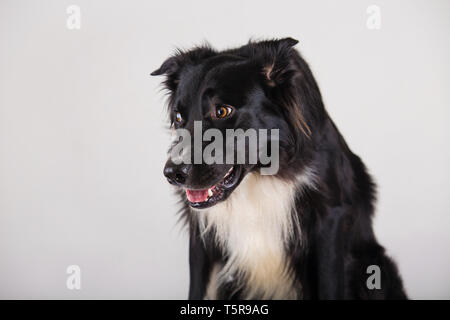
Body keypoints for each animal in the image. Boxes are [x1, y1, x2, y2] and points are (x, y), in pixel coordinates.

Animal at [151, 37, 408, 300]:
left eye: (222, 111)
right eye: (179, 117)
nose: (172, 174)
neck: (261, 173)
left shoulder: (331, 218)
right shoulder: (202, 230)